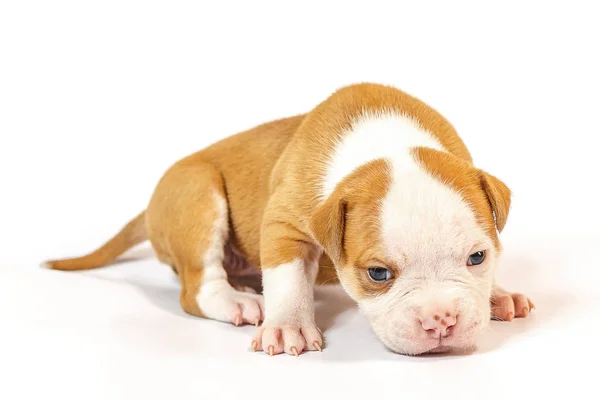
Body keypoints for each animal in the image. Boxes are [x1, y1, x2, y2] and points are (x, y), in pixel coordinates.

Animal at [47, 82, 536, 356]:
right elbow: (287, 278)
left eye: (477, 258)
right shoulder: (284, 225)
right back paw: (239, 301)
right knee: (197, 287)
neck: (385, 144)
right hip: (197, 193)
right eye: (378, 274)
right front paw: (286, 326)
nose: (441, 321)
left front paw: (498, 293)